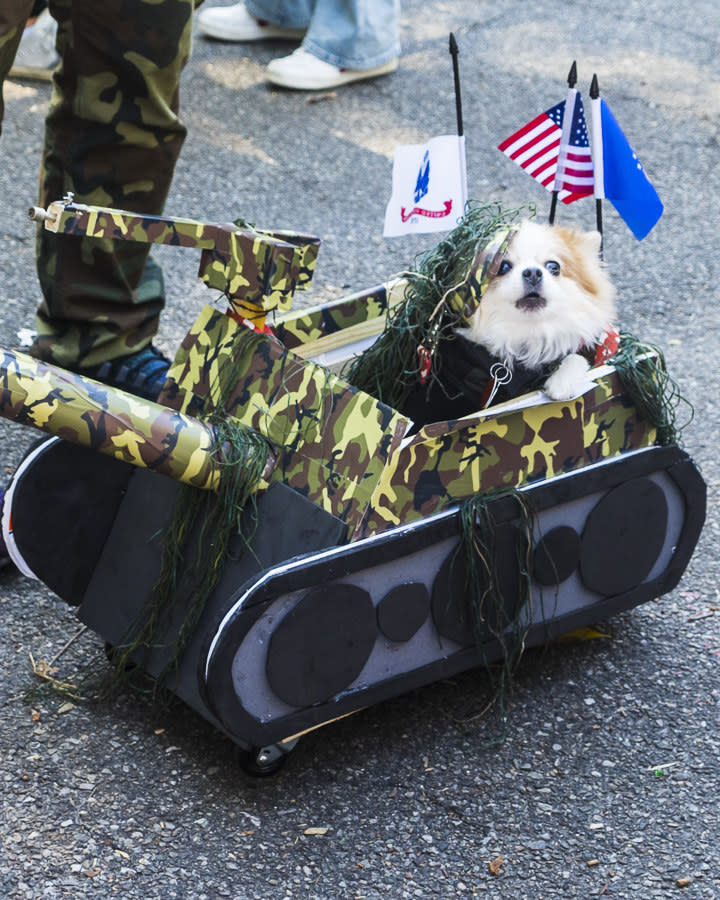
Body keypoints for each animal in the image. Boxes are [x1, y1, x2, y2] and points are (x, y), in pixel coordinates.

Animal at [402, 220, 616, 428]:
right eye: (503, 267)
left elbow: (575, 356)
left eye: (553, 266)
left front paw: (562, 383)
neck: (526, 336)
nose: (533, 272)